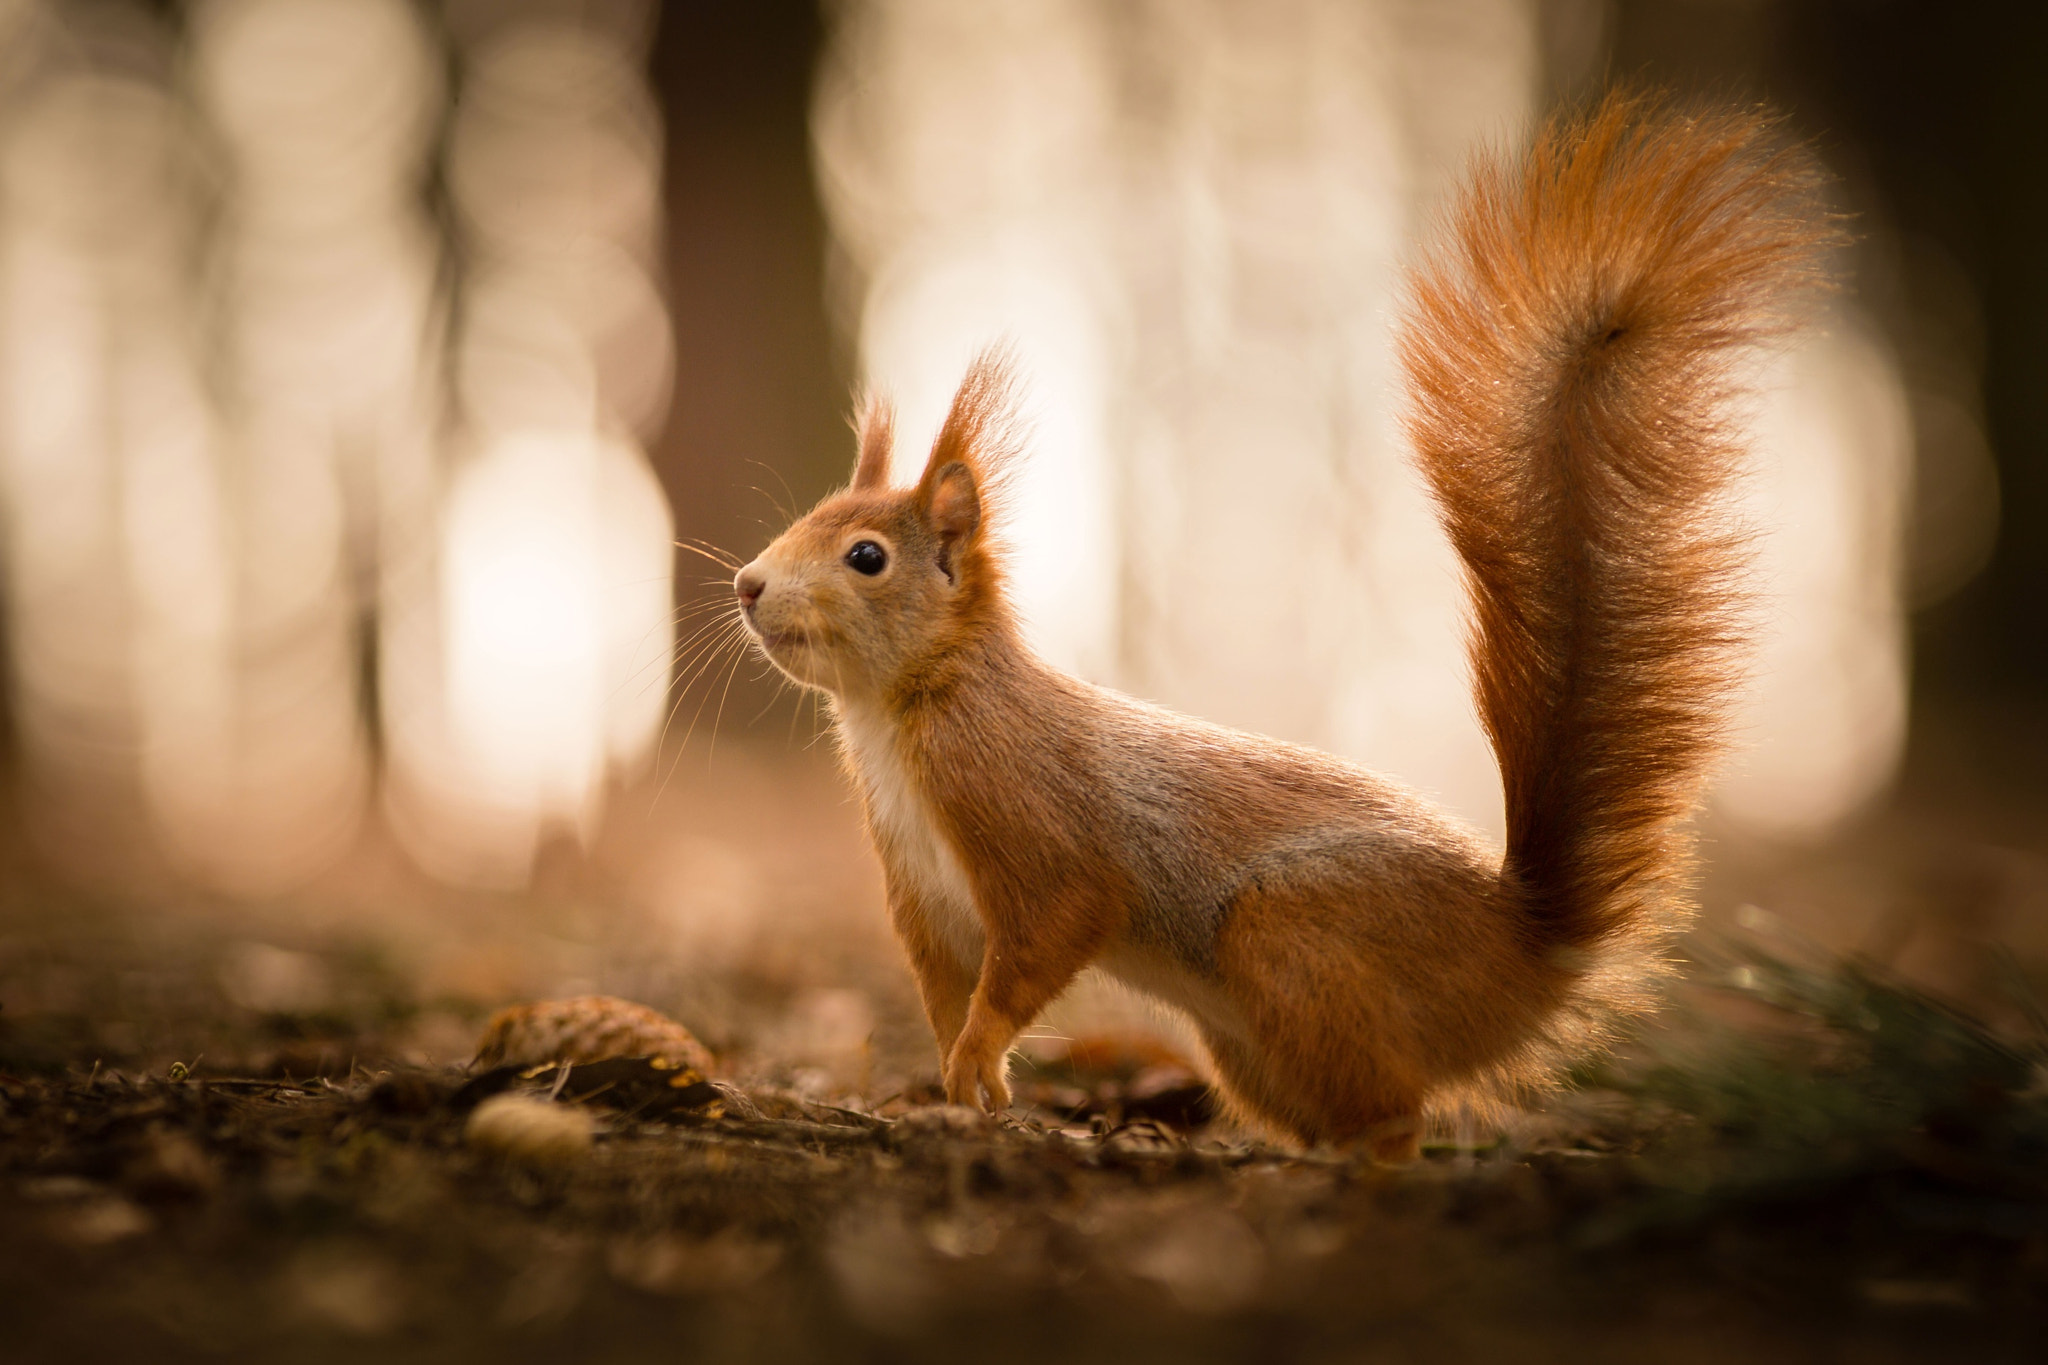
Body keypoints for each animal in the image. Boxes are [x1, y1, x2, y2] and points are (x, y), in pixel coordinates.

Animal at [737, 93, 1843, 1162]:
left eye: (866, 557)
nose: (747, 585)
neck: (901, 715)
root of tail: (1519, 954)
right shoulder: (923, 900)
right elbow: (942, 988)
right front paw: (958, 1082)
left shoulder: (1033, 824)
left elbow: (1046, 936)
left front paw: (977, 1063)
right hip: (1245, 1040)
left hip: (1291, 935)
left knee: (1396, 1115)